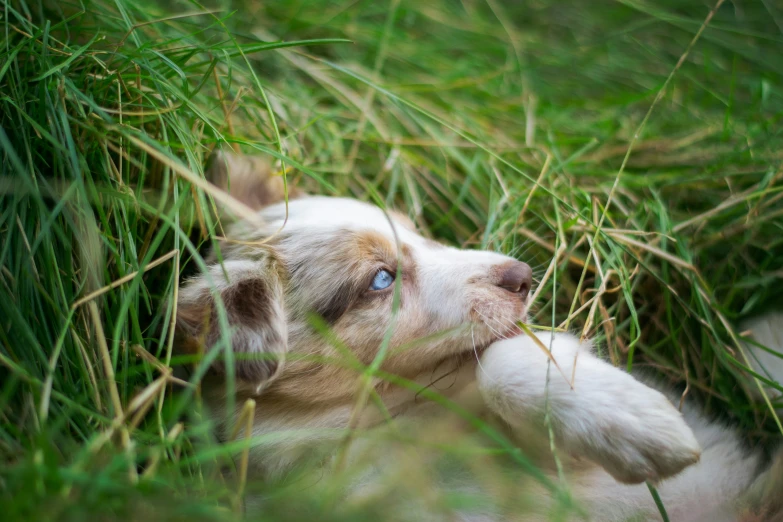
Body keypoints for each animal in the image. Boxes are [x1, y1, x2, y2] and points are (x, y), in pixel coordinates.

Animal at [176, 152, 783, 516]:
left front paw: (639, 422)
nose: (524, 276)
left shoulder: (555, 465)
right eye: (380, 279)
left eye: (421, 234)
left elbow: (505, 361)